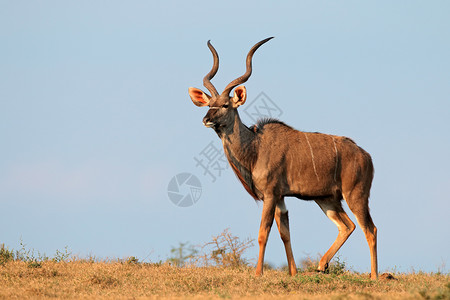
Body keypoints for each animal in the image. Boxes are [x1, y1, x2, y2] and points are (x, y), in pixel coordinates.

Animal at [188, 37, 378, 278]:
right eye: (209, 104)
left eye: (224, 105)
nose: (206, 119)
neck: (255, 147)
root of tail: (366, 155)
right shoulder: (280, 198)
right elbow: (285, 233)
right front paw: (294, 272)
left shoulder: (270, 195)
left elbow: (263, 233)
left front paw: (258, 273)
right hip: (327, 199)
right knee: (347, 226)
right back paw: (321, 265)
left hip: (355, 195)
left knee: (369, 229)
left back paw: (374, 276)